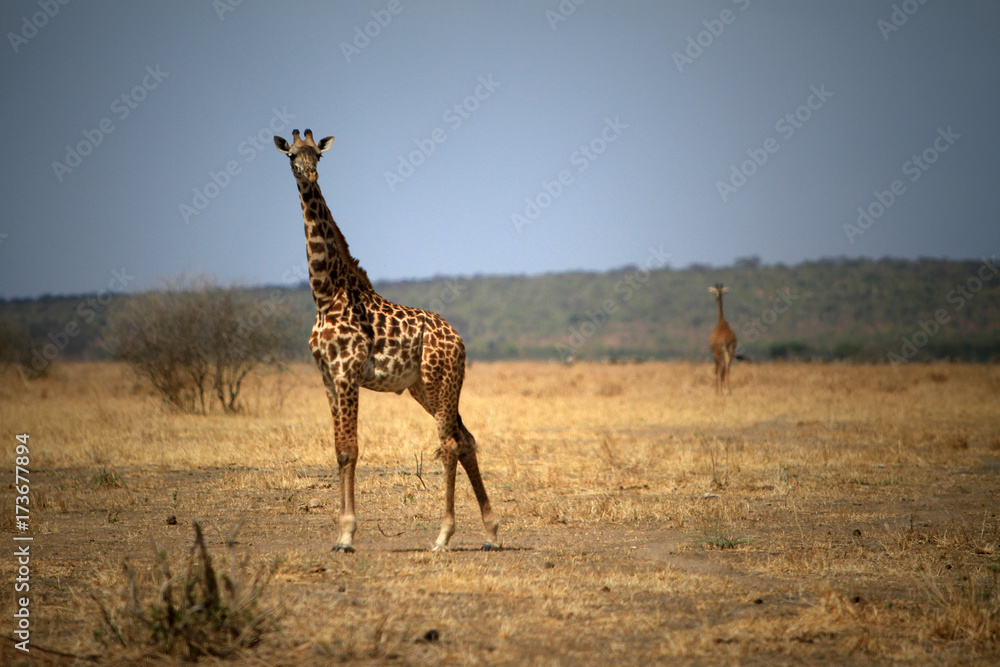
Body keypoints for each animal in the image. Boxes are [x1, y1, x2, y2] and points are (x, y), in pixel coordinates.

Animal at [274, 129, 499, 552]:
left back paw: (443, 536)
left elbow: (350, 449)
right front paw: (340, 534)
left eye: (318, 156)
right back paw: (492, 533)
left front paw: (347, 535)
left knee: (449, 444)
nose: (309, 176)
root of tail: (460, 341)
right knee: (466, 439)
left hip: (441, 382)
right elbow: (339, 450)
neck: (326, 295)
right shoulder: (327, 377)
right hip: (426, 389)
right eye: (292, 155)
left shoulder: (347, 373)